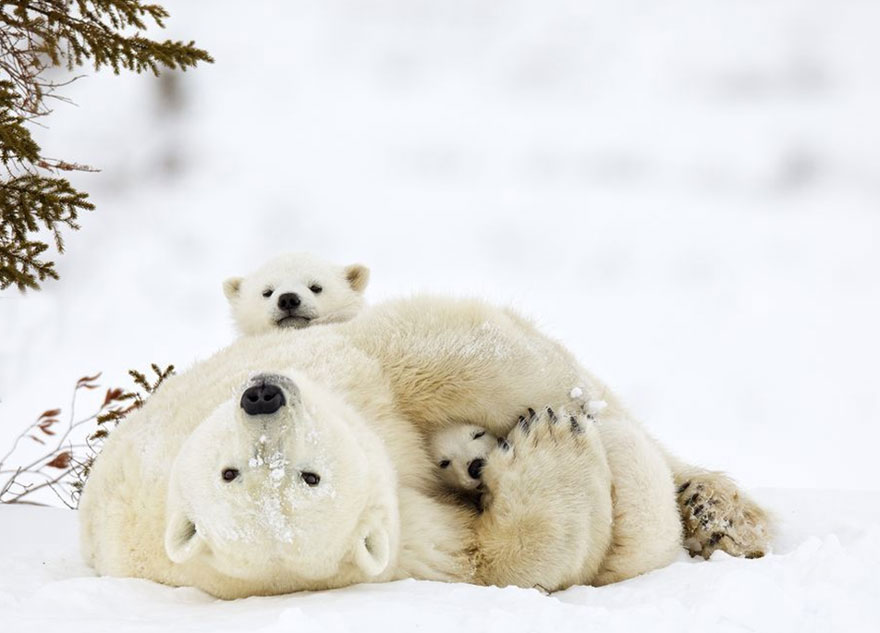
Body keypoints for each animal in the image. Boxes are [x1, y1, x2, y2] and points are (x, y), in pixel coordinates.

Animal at [79, 295, 771, 598]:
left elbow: (440, 355)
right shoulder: (404, 547)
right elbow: (503, 560)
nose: (263, 396)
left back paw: (719, 511)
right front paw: (549, 439)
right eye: (312, 477)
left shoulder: (343, 370)